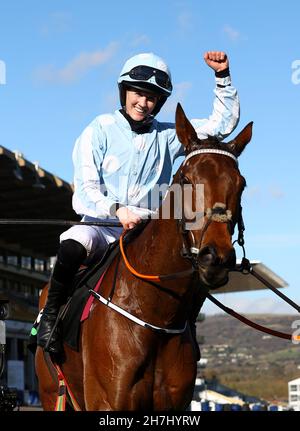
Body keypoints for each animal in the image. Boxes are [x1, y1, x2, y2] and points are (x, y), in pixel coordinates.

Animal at [35, 104, 252, 412]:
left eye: (241, 184)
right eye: (186, 179)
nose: (216, 257)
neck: (156, 315)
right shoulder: (107, 403)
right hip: (52, 392)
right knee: (74, 247)